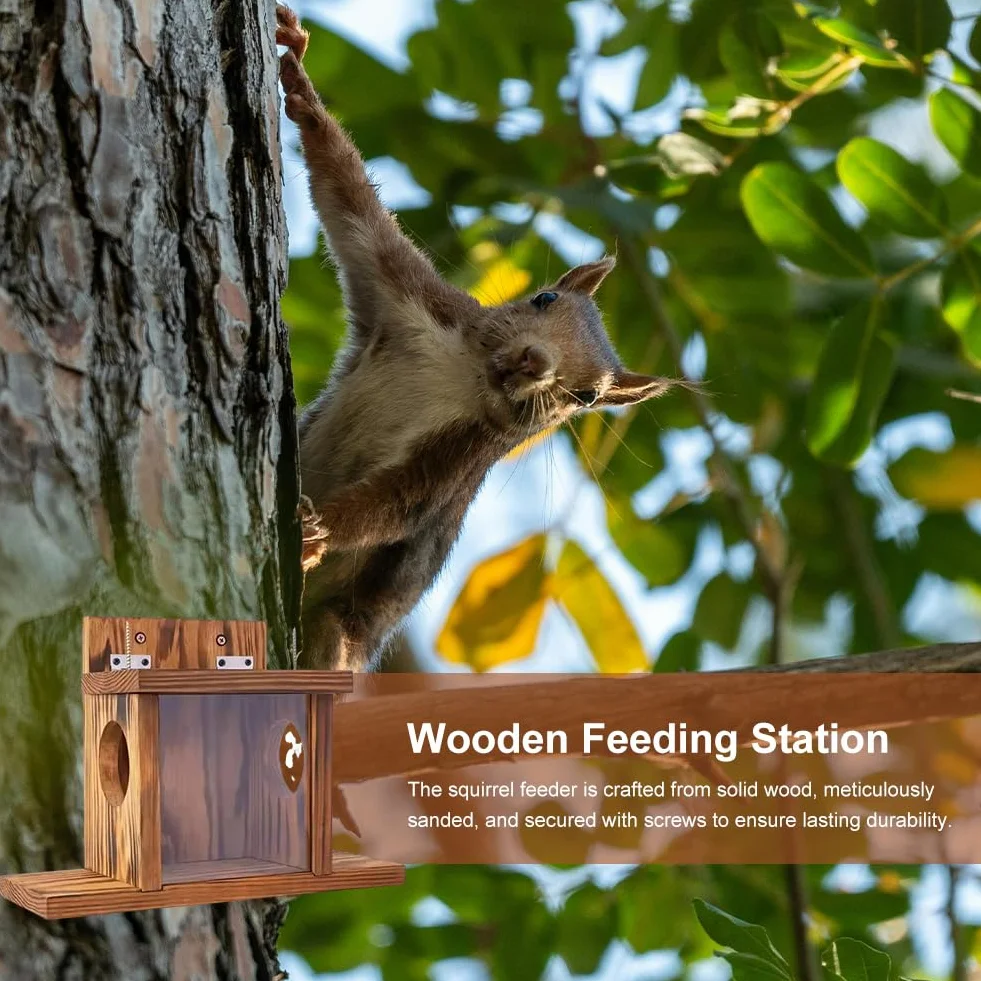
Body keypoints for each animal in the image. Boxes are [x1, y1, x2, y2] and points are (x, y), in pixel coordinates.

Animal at [276, 5, 674, 670]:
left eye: (588, 397)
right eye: (544, 299)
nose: (535, 362)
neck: (466, 374)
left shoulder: (462, 456)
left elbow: (402, 504)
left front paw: (319, 531)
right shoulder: (406, 296)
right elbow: (346, 197)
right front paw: (300, 81)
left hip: (340, 631)